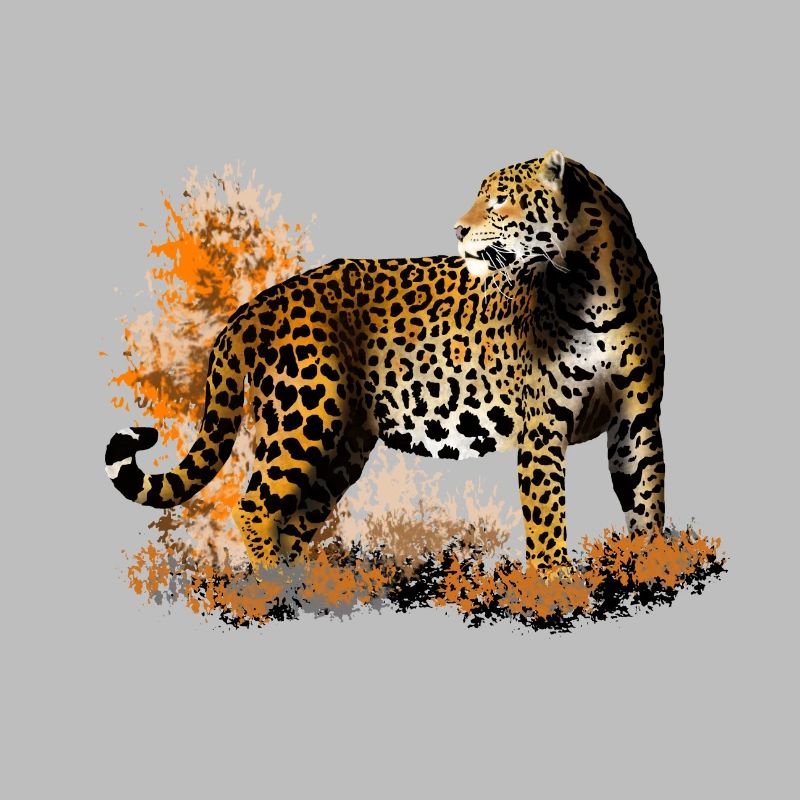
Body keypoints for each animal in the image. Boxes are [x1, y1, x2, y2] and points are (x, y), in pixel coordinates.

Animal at [105, 150, 665, 572]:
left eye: (500, 201)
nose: (457, 230)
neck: (593, 285)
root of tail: (261, 302)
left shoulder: (636, 418)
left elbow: (647, 498)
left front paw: (652, 566)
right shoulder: (543, 424)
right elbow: (547, 512)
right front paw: (553, 584)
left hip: (344, 444)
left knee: (293, 520)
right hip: (305, 413)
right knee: (254, 506)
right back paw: (272, 587)